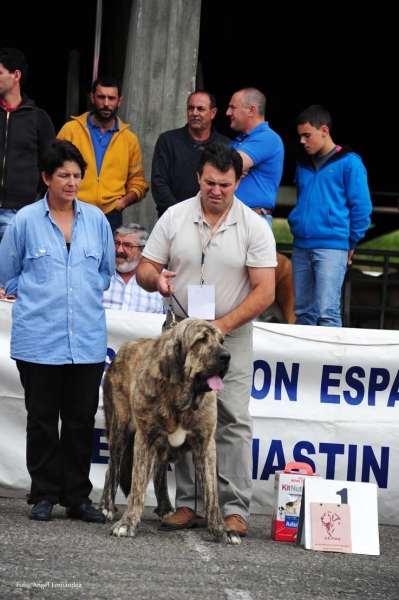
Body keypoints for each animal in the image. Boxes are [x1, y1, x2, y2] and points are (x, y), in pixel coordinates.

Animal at [97, 318, 241, 544]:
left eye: (221, 341)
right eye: (200, 340)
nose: (226, 356)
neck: (181, 397)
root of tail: (125, 347)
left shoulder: (205, 444)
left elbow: (211, 493)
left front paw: (221, 529)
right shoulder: (144, 439)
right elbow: (137, 487)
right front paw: (127, 523)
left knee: (158, 474)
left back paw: (165, 508)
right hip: (119, 430)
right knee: (112, 468)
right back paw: (107, 506)